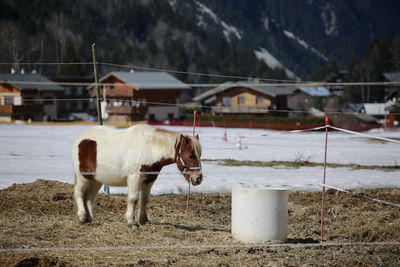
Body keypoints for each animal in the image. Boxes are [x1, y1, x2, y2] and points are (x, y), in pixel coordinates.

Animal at [71, 124, 203, 227]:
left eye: (200, 155)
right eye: (191, 155)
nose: (198, 178)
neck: (149, 149)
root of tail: (80, 139)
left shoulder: (149, 180)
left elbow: (145, 199)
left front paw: (144, 220)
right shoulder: (135, 178)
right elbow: (133, 199)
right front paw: (131, 221)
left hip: (96, 180)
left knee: (89, 197)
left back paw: (89, 218)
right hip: (84, 176)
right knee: (78, 192)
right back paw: (82, 217)